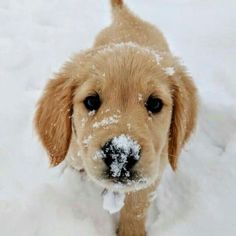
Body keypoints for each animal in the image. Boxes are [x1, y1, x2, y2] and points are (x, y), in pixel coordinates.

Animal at [34, 0, 197, 235]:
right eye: (91, 101)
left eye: (155, 103)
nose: (121, 154)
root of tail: (128, 18)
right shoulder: (75, 150)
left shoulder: (154, 168)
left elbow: (137, 204)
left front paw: (132, 230)